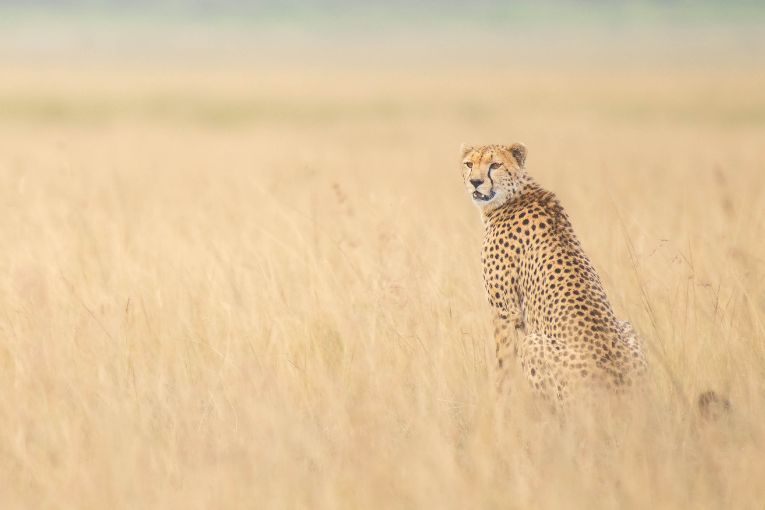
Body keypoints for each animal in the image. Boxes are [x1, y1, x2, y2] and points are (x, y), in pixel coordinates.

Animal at [460, 143, 644, 402]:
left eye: (495, 165)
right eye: (469, 164)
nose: (475, 182)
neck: (515, 194)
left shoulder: (505, 311)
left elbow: (503, 363)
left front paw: (498, 398)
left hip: (533, 344)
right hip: (627, 327)